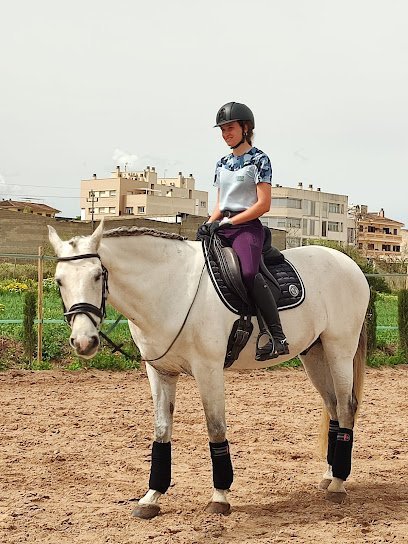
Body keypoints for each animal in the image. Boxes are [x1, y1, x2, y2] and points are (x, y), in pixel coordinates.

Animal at [47, 220, 370, 520]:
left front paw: (220, 496)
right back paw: (329, 476)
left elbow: (215, 427)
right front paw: (152, 497)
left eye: (97, 275)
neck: (170, 288)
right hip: (314, 354)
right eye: (59, 281)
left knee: (345, 407)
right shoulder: (160, 372)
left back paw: (338, 484)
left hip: (339, 350)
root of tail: (350, 265)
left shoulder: (208, 369)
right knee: (332, 406)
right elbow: (162, 429)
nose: (84, 341)